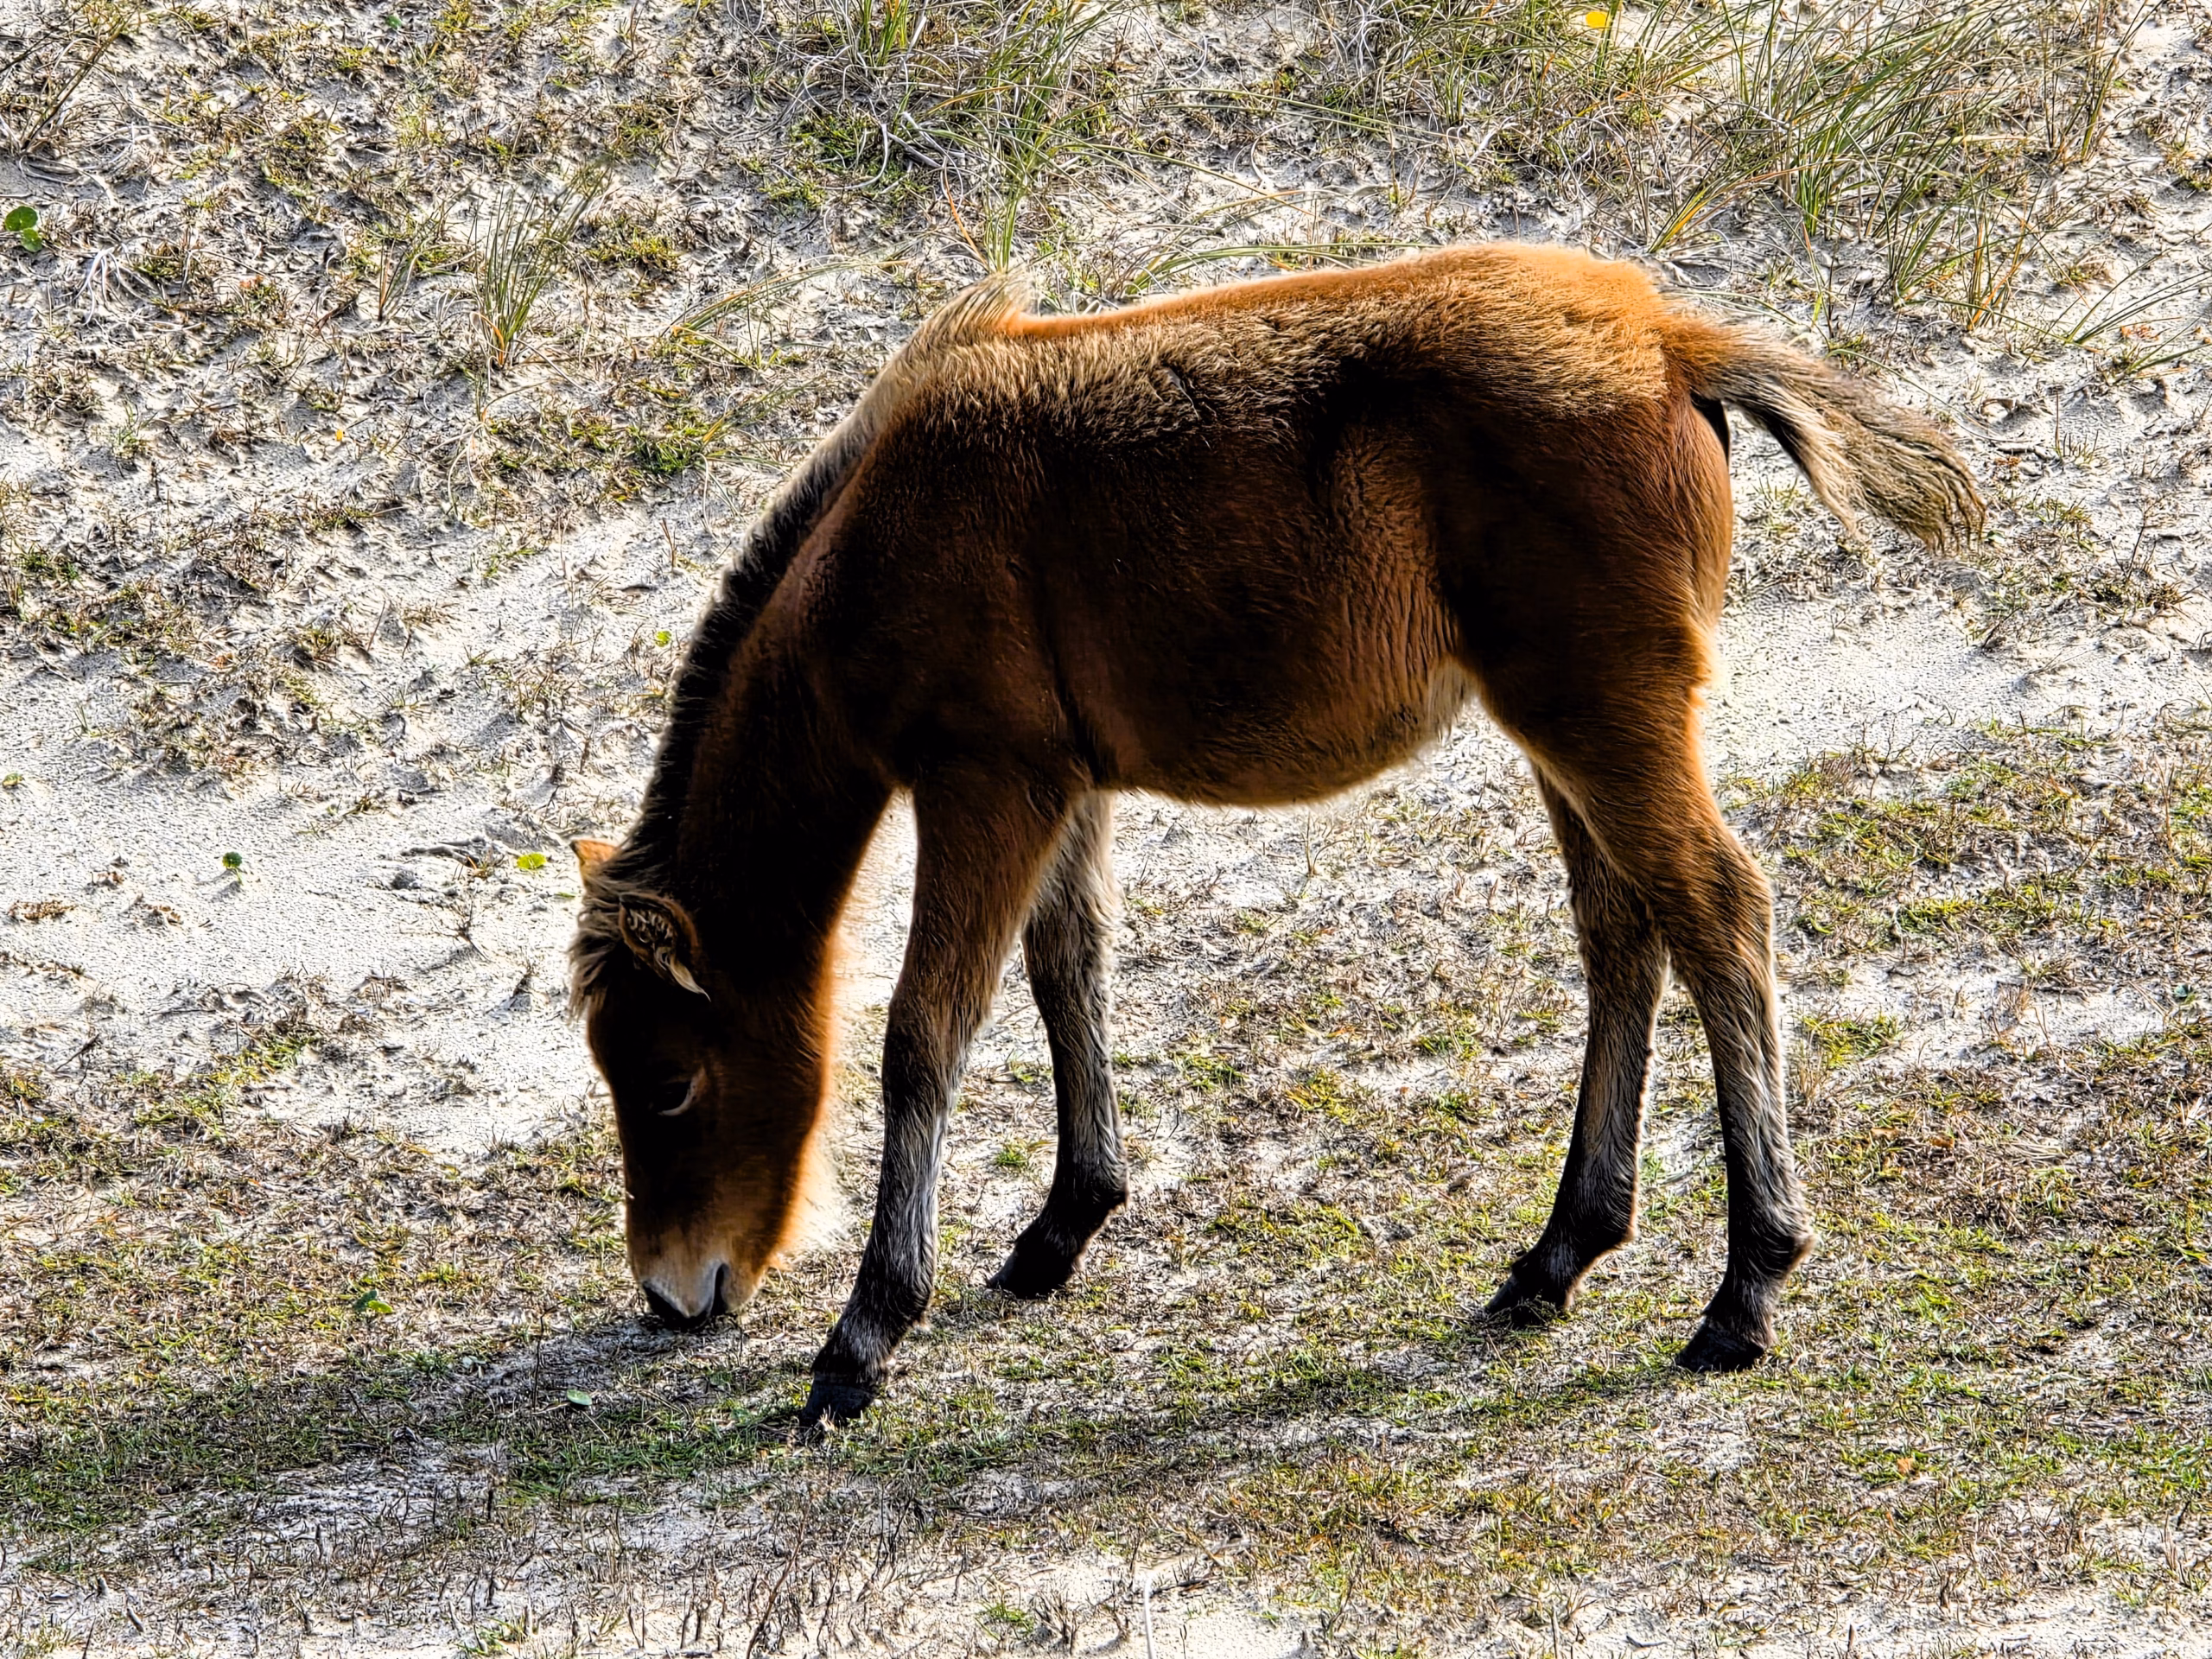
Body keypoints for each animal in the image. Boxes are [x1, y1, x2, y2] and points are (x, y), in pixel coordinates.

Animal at [569, 242, 1980, 1427]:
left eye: (673, 1080)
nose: (674, 1294)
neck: (885, 527)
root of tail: (1668, 344)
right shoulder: (1065, 790)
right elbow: (1068, 971)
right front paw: (1062, 1228)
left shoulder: (986, 785)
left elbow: (928, 1034)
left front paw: (861, 1341)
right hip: (1567, 730)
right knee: (1624, 935)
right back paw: (1558, 1254)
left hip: (1602, 720)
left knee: (1718, 917)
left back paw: (1744, 1292)